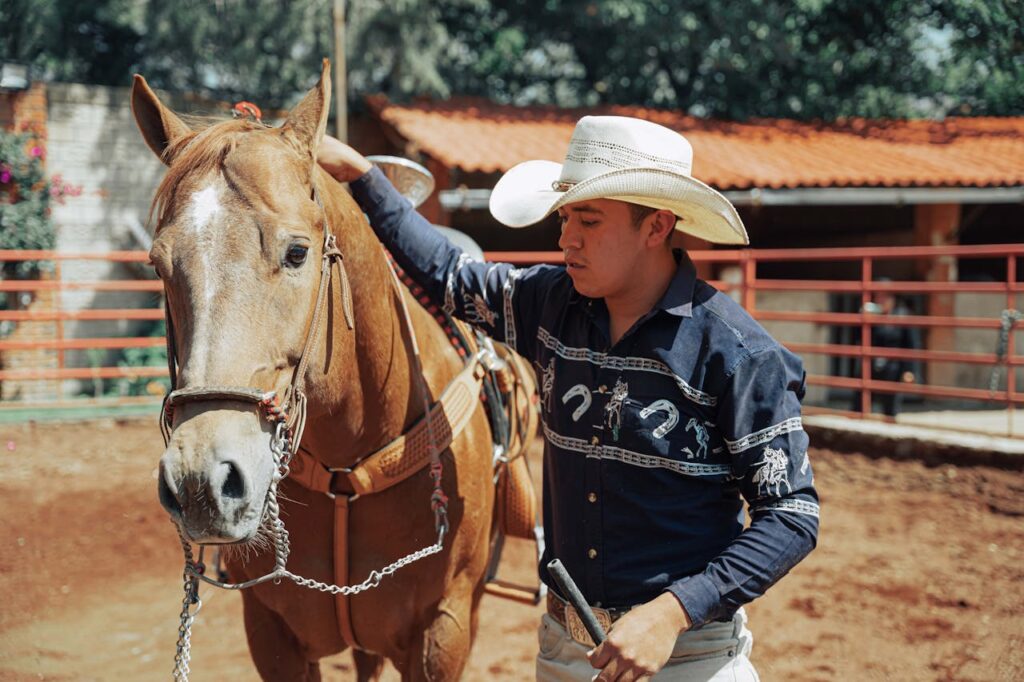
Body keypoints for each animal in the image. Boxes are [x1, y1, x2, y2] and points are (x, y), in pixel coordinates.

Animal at [133, 60, 537, 681]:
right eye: (158, 264)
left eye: (298, 252)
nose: (203, 482)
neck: (351, 465)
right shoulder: (271, 636)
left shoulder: (443, 633)